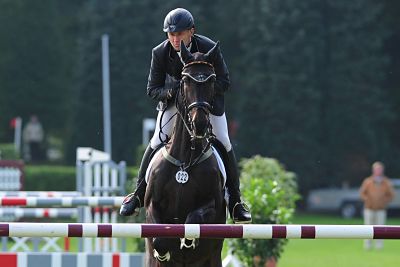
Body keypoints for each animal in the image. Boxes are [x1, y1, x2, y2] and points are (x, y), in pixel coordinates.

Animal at [144, 40, 227, 266]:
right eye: (185, 80)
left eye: (212, 80)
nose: (199, 125)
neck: (185, 158)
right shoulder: (152, 205)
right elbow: (159, 240)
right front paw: (164, 251)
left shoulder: (212, 204)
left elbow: (194, 219)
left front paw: (188, 240)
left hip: (214, 257)